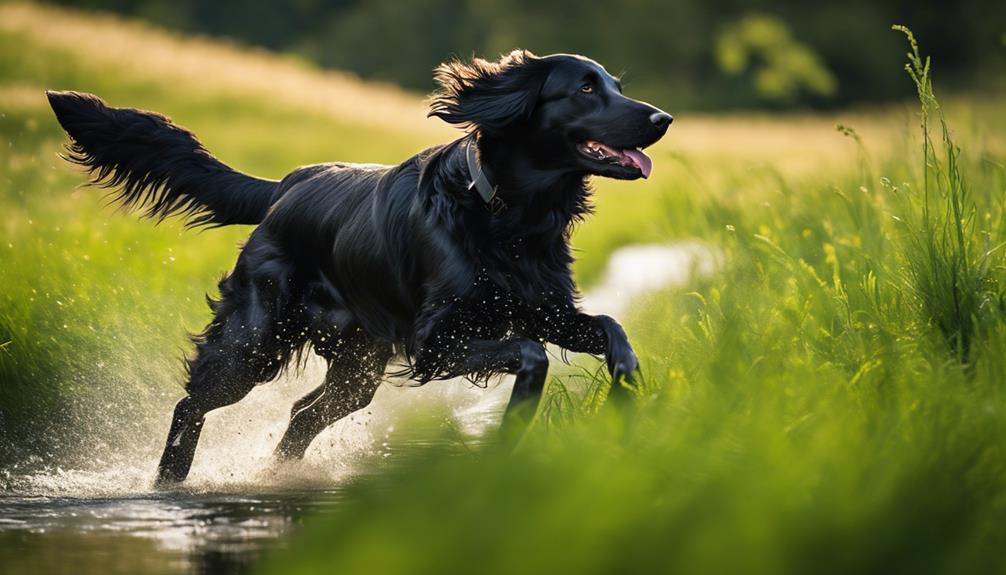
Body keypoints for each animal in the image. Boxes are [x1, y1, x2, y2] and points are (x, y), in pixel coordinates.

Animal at [49, 49, 676, 482]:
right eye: (587, 88)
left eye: (617, 86)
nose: (663, 118)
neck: (508, 214)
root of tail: (285, 186)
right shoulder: (436, 341)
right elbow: (530, 354)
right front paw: (512, 429)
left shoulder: (543, 308)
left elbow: (611, 331)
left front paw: (625, 396)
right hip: (254, 345)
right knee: (191, 404)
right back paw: (169, 482)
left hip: (357, 369)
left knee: (302, 412)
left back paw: (277, 474)